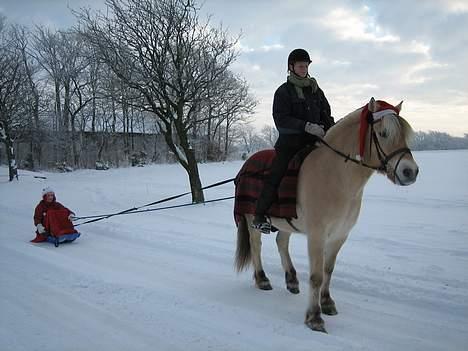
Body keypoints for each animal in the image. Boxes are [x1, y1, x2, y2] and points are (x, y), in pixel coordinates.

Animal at [234, 98, 420, 332]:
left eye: (404, 134)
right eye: (383, 133)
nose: (410, 172)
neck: (335, 175)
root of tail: (247, 163)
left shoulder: (339, 235)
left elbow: (328, 270)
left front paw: (327, 302)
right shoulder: (317, 235)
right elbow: (316, 276)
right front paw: (314, 317)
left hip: (286, 222)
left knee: (281, 242)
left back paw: (291, 280)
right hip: (251, 218)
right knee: (256, 246)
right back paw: (262, 279)